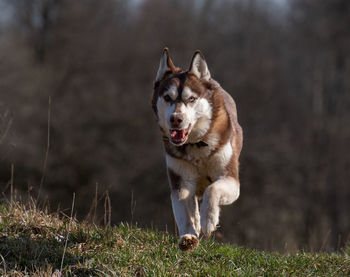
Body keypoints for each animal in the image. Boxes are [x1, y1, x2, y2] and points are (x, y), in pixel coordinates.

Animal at [152, 47, 242, 250]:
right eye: (167, 97)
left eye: (191, 98)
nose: (176, 119)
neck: (196, 146)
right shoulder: (180, 182)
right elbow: (185, 214)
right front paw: (188, 237)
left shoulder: (231, 179)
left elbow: (213, 190)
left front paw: (209, 220)